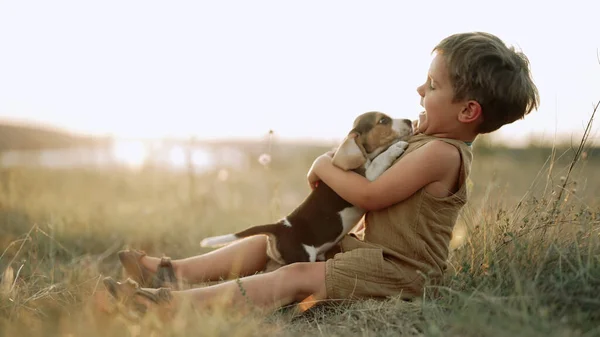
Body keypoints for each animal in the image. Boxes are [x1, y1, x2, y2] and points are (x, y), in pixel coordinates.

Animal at [200, 111, 412, 264]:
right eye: (383, 120)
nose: (410, 121)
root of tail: (278, 226)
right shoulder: (367, 179)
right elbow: (379, 161)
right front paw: (395, 147)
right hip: (301, 257)